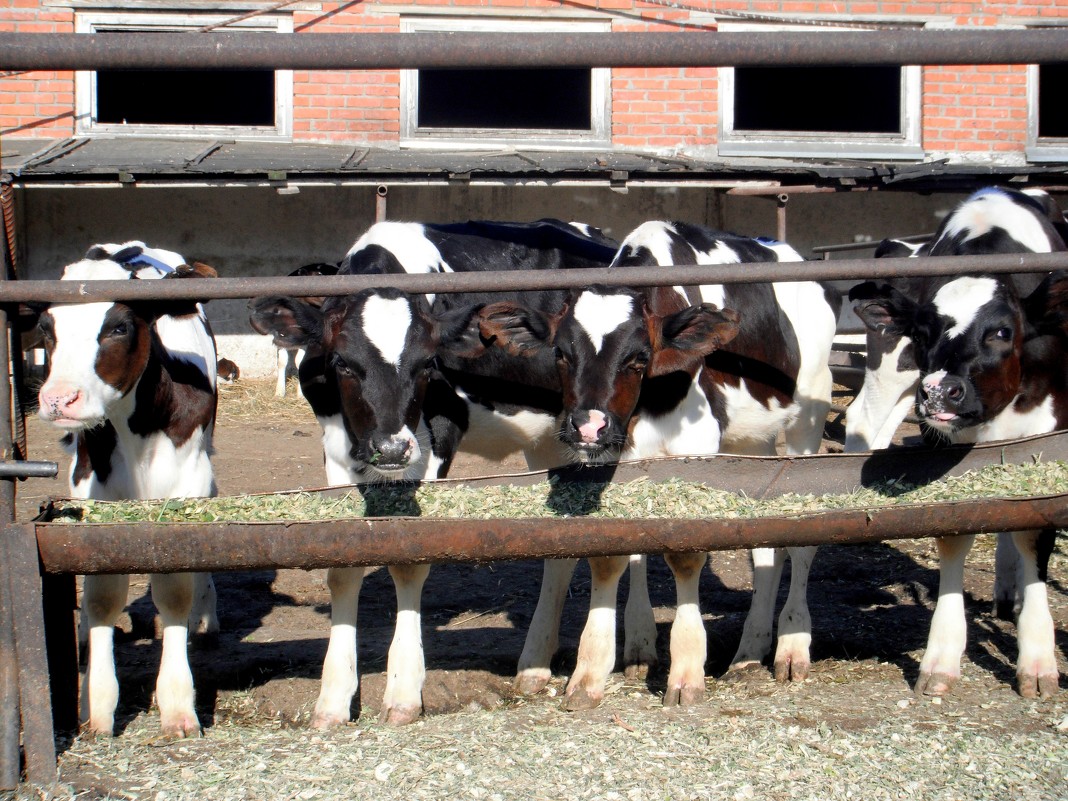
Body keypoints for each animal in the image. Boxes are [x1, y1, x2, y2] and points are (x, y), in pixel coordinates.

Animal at [33, 241, 217, 739]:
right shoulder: (91, 493)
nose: (58, 399)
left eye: (118, 326)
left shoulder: (187, 481)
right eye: (46, 329)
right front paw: (98, 706)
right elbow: (101, 592)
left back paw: (204, 615)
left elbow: (175, 587)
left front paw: (177, 705)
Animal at [247, 217, 619, 726]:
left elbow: (412, 555)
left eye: (427, 364)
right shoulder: (335, 448)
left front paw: (403, 691)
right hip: (553, 441)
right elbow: (342, 562)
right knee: (565, 540)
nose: (390, 447)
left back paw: (598, 670)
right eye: (342, 362)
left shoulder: (438, 436)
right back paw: (536, 665)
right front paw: (333, 699)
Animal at [478, 221, 841, 709]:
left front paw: (686, 672)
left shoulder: (697, 445)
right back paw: (748, 652)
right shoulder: (615, 457)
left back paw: (791, 647)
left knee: (802, 540)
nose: (588, 427)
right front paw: (592, 671)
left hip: (809, 416)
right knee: (764, 539)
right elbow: (614, 553)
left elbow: (686, 552)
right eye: (560, 354)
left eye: (638, 358)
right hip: (756, 437)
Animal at [845, 261, 1063, 696]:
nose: (938, 392)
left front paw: (1037, 660)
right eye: (920, 334)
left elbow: (1032, 537)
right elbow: (954, 528)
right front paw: (942, 656)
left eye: (1002, 332)